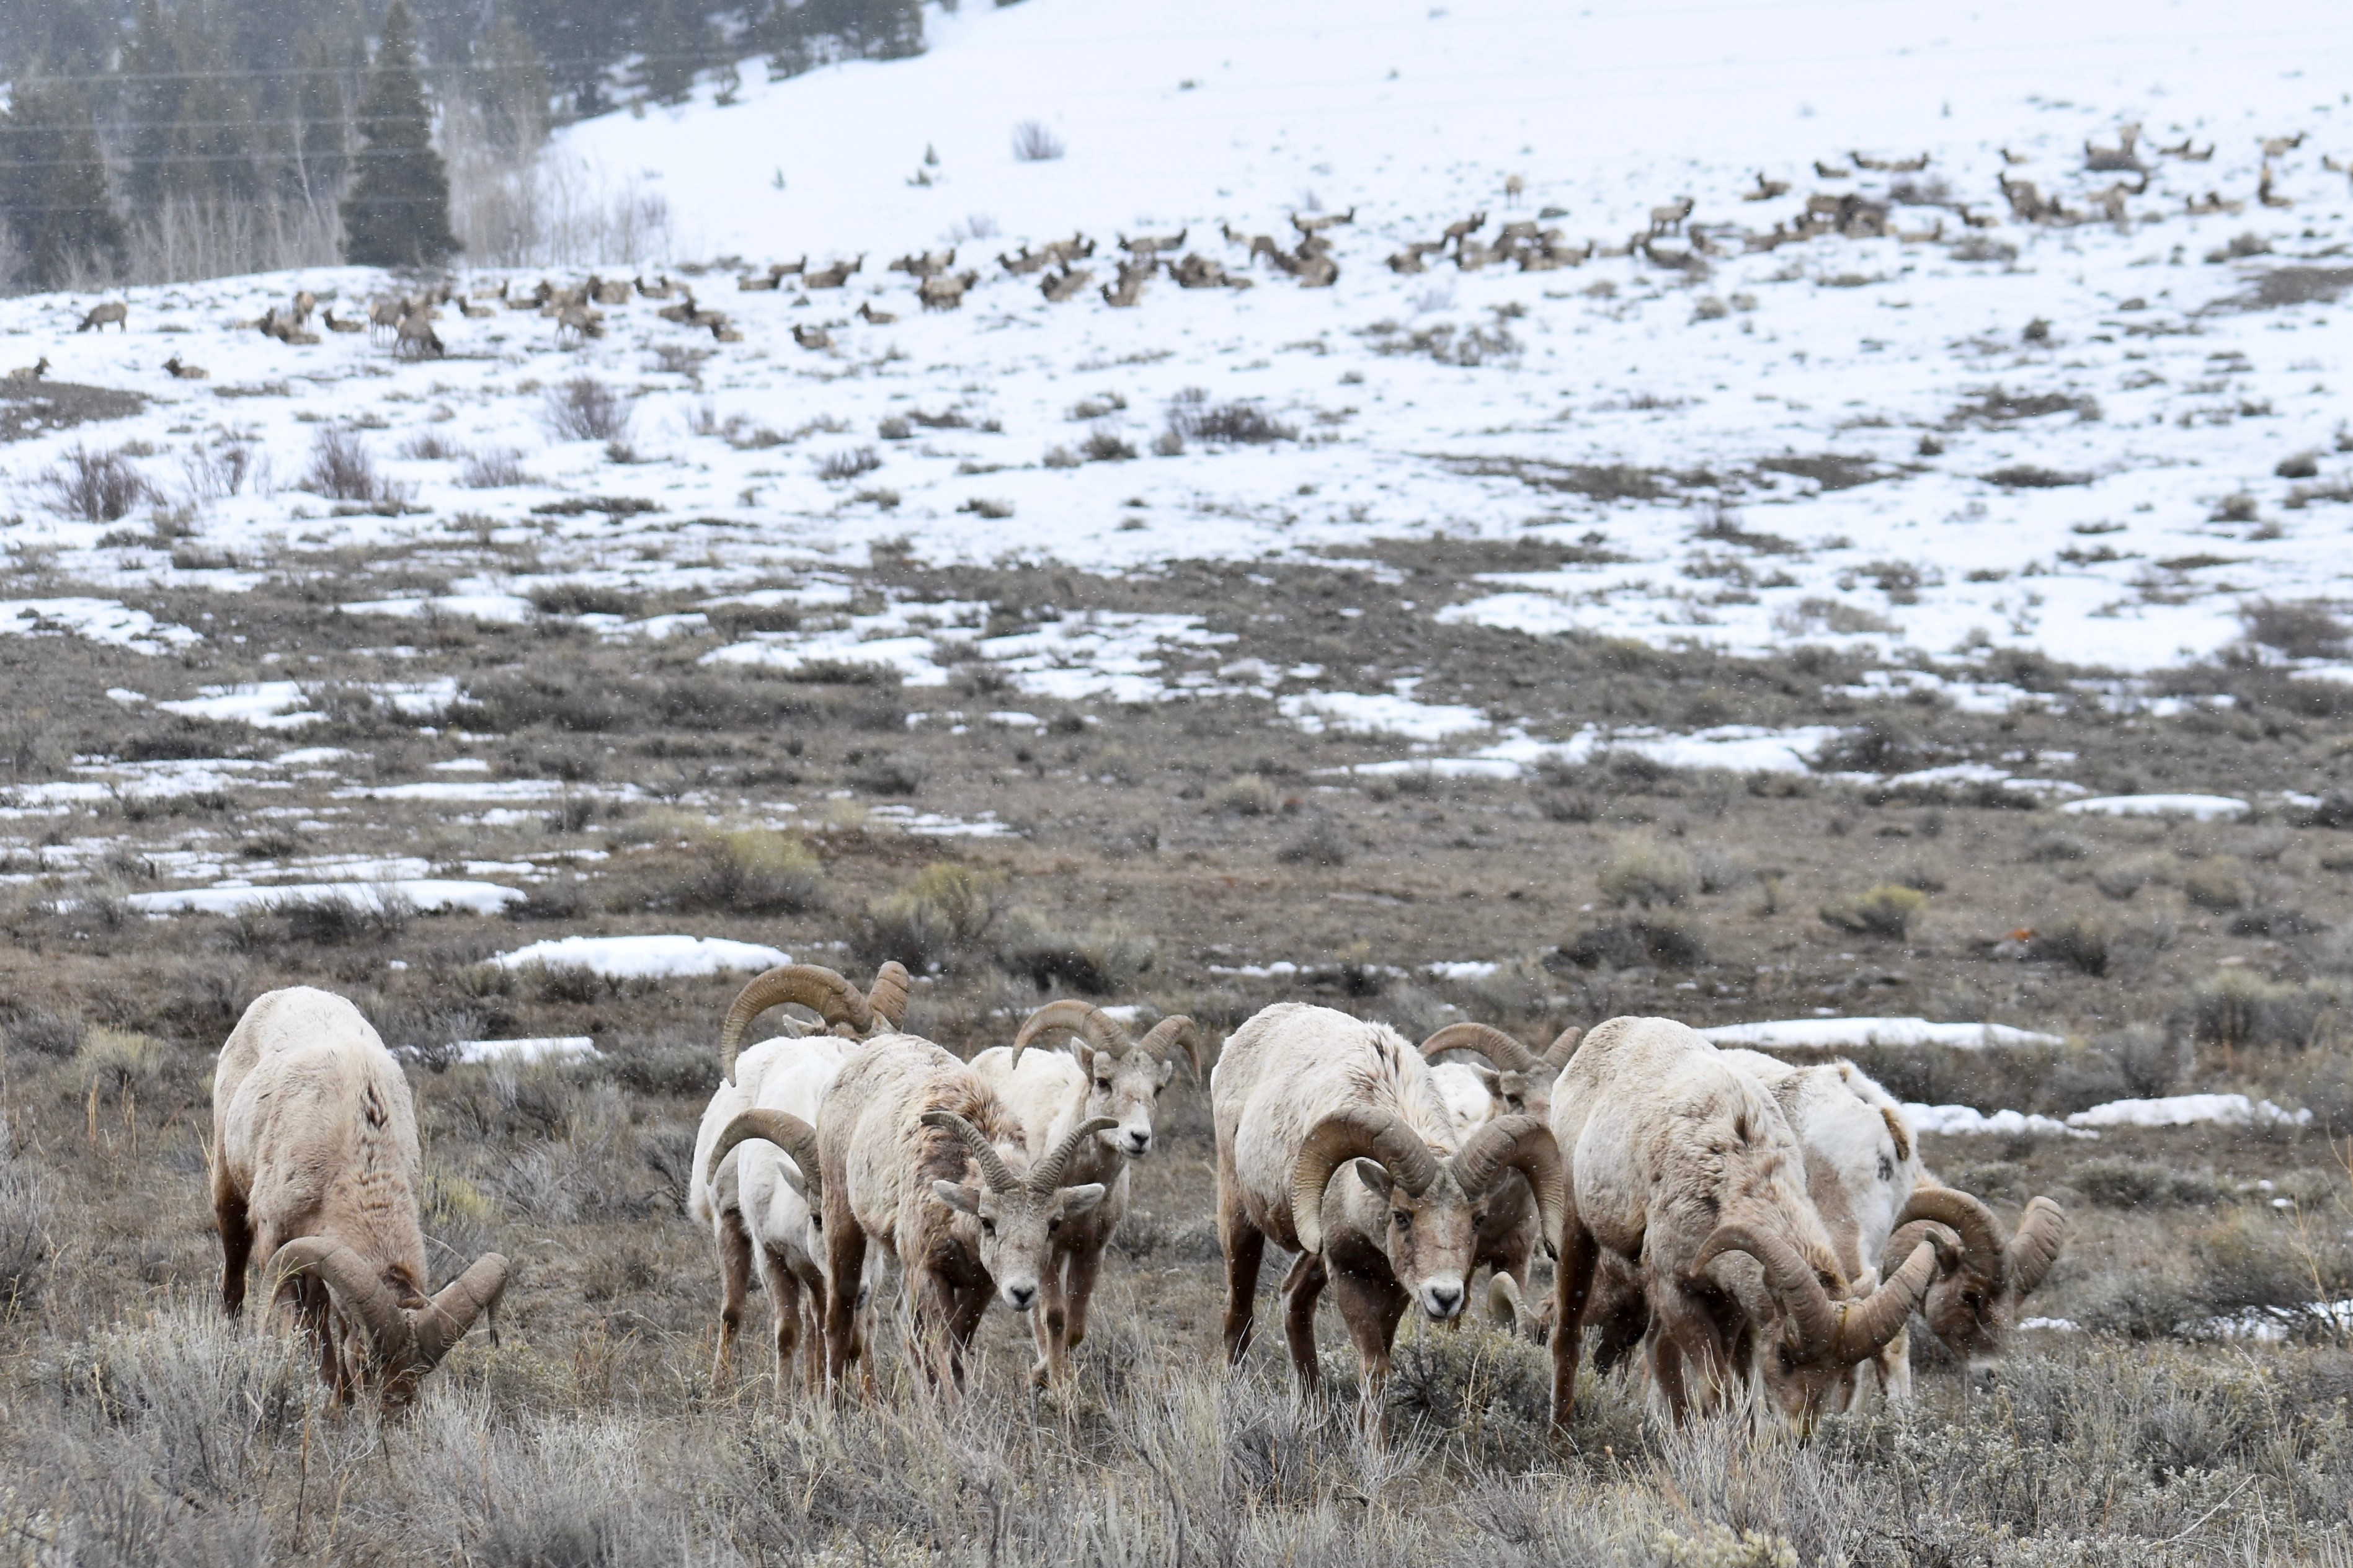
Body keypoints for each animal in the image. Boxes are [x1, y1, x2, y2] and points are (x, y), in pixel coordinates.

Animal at [819, 1029, 1110, 1401]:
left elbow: (957, 1349)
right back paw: (833, 1402)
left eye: (1054, 1224)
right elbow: (943, 1348)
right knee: (839, 1313)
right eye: (987, 1221)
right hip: (842, 1217)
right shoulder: (931, 1274)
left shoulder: (980, 1285)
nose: (1022, 1292)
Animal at [1214, 1011, 1562, 1420]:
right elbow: (1373, 1366)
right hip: (1240, 1219)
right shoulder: (1347, 1272)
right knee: (1238, 1315)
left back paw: (1312, 1410)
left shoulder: (1397, 1285)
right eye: (1401, 1215)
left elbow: (1384, 1357)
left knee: (1293, 1298)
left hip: (1312, 1252)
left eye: (1477, 1219)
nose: (1445, 1297)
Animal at [1543, 1020, 1948, 1438]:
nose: (1799, 1439)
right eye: (1785, 1352)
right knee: (1569, 1335)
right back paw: (1561, 1432)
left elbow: (1736, 1392)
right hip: (1576, 1232)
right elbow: (1717, 1392)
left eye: (1837, 1369)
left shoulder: (1731, 1305)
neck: (1733, 1175)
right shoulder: (1678, 1294)